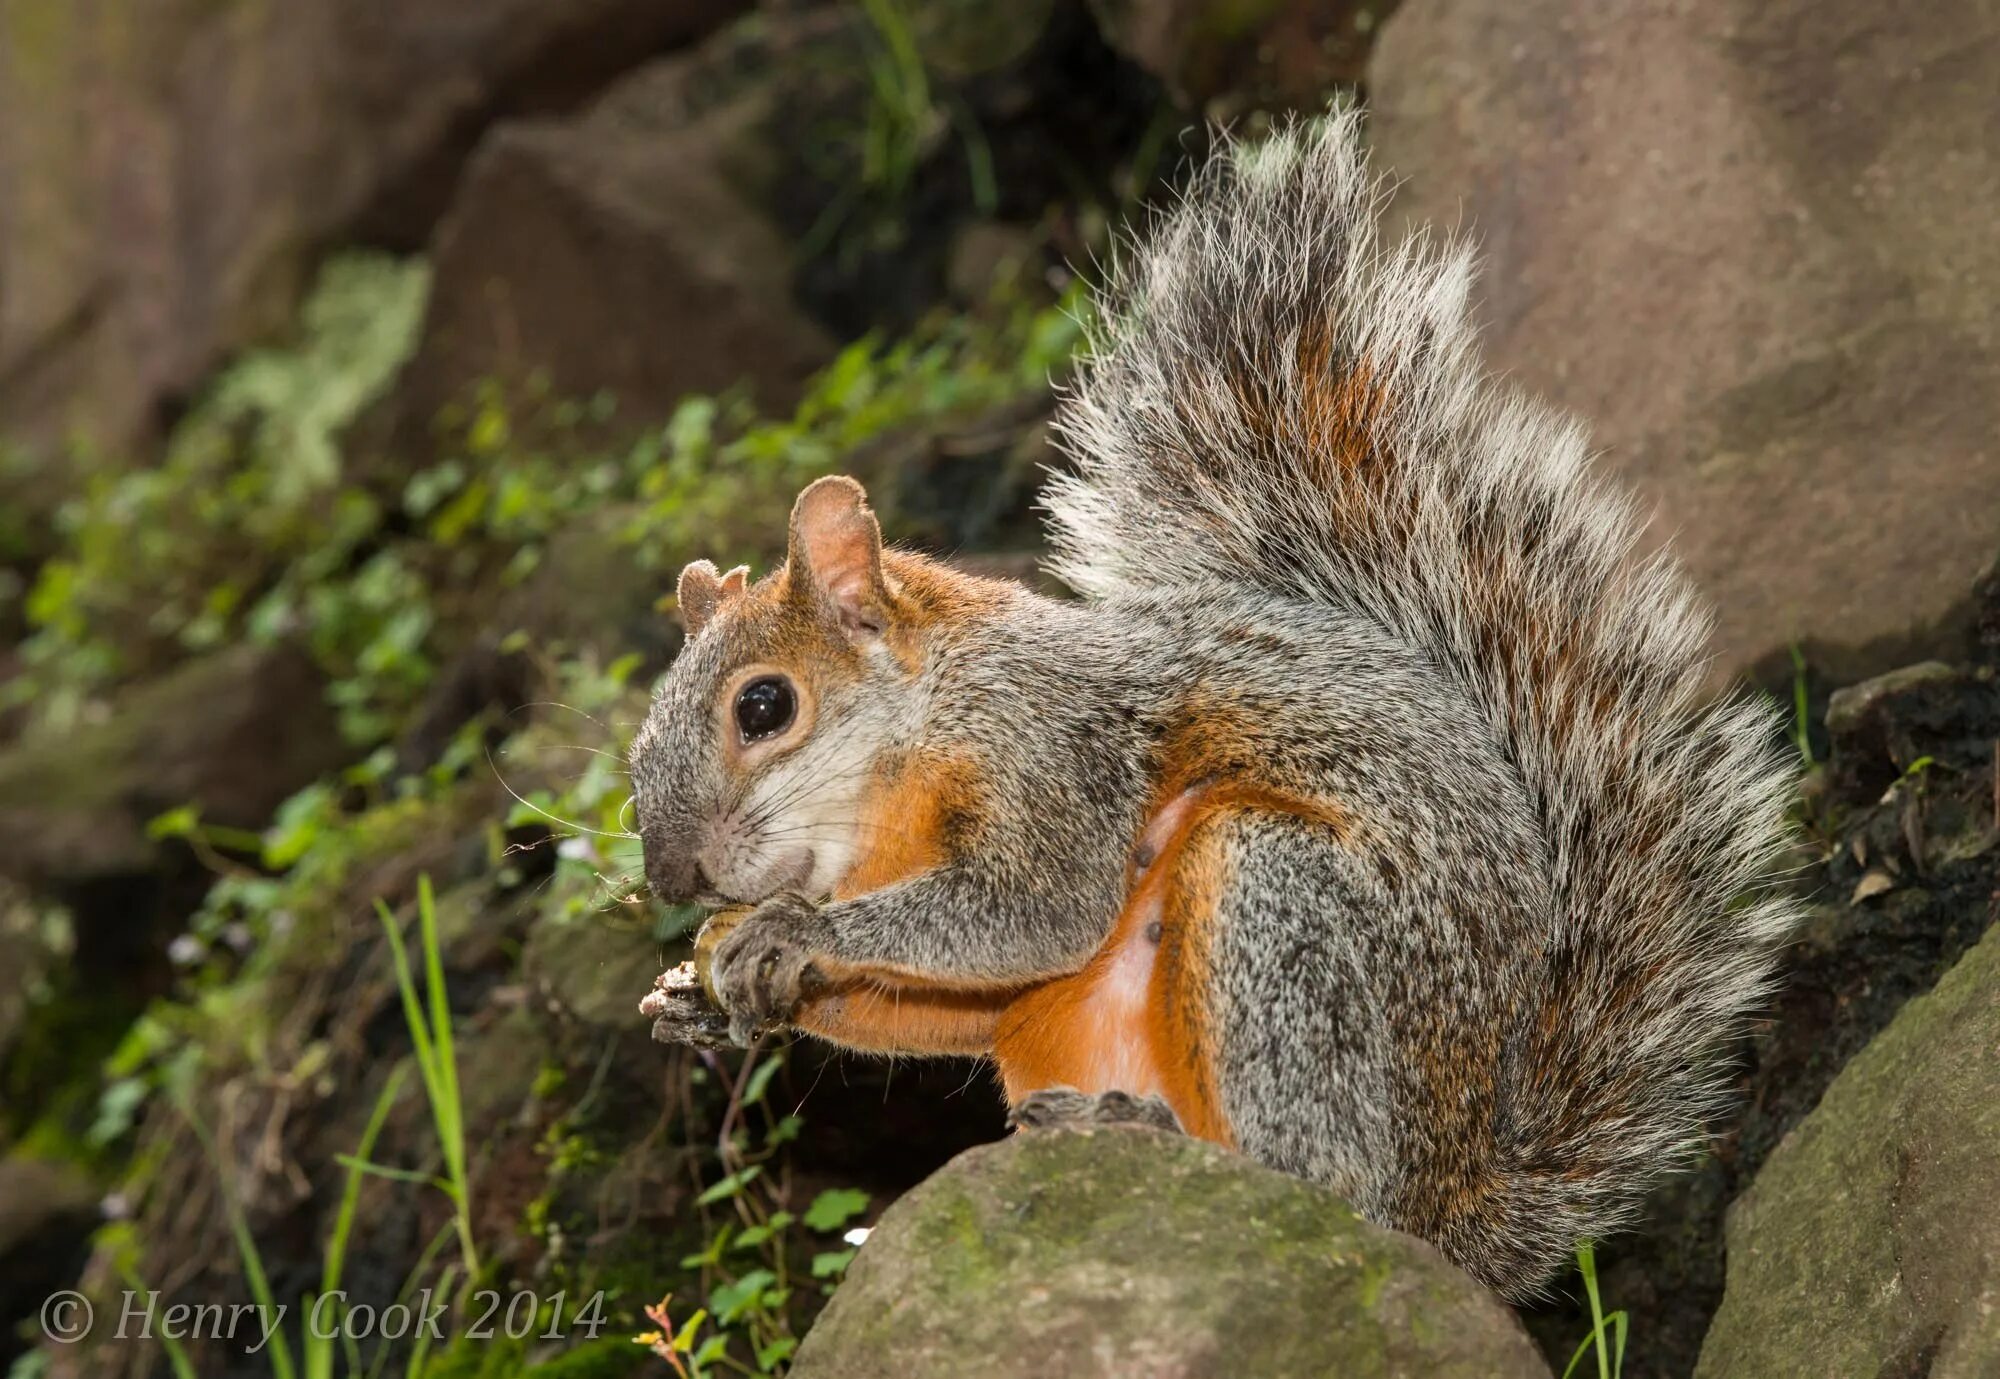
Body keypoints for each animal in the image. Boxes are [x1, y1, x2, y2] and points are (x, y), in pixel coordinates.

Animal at [624, 109, 1800, 1303]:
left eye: (764, 707)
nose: (673, 878)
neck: (891, 785)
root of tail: (1454, 1201)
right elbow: (948, 997)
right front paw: (698, 986)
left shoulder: (1057, 747)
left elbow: (1034, 909)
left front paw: (785, 929)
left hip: (1283, 909)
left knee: (1323, 1176)